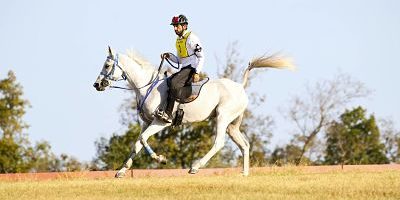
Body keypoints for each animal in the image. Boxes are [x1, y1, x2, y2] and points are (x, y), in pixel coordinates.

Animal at [93, 47, 294, 178]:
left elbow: (142, 140)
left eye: (107, 65)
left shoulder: (160, 122)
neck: (148, 87)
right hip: (232, 125)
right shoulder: (146, 122)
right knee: (244, 145)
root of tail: (240, 86)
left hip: (222, 117)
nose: (97, 84)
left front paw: (160, 159)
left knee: (219, 143)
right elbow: (136, 144)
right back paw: (244, 173)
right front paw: (121, 171)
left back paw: (195, 166)